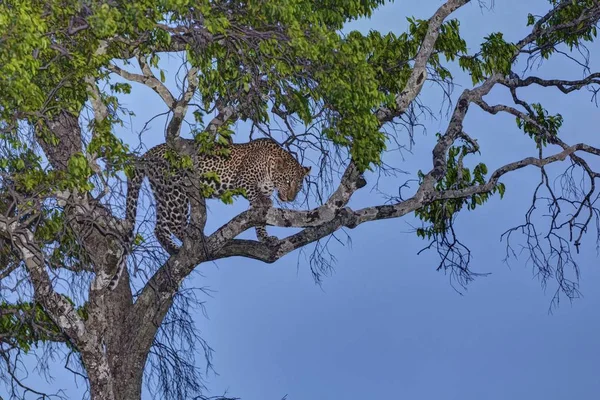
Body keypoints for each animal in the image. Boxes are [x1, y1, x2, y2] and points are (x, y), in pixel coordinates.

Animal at [108, 139, 312, 290]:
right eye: (287, 182)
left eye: (299, 186)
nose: (290, 198)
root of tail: (150, 152)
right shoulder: (243, 179)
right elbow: (256, 196)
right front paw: (267, 207)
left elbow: (259, 221)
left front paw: (266, 239)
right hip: (177, 191)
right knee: (174, 223)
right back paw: (198, 239)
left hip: (163, 192)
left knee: (160, 226)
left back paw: (173, 248)